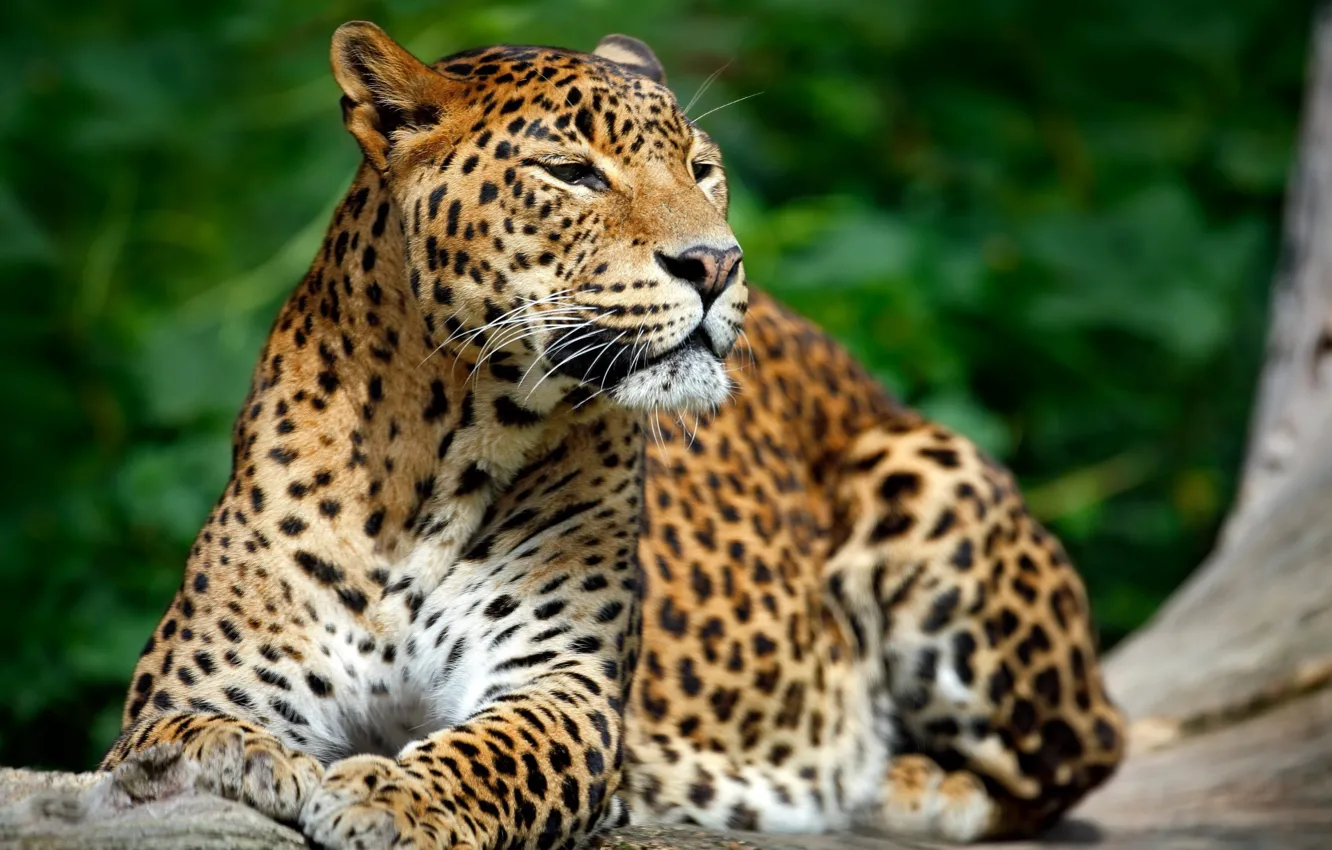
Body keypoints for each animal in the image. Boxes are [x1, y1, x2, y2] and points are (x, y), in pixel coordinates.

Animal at [100, 20, 1124, 849]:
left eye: (702, 169)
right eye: (573, 173)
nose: (717, 262)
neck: (436, 454)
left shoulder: (563, 685)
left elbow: (489, 752)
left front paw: (391, 796)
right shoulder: (192, 687)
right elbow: (183, 740)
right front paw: (255, 764)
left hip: (925, 469)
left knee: (1081, 754)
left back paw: (906, 783)